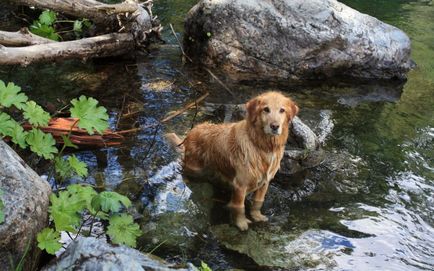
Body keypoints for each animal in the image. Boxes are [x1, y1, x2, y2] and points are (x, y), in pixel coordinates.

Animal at [166, 92, 298, 232]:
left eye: (282, 110)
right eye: (266, 109)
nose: (274, 126)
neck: (261, 145)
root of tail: (191, 133)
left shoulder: (264, 183)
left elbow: (258, 203)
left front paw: (257, 217)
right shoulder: (240, 185)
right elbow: (239, 208)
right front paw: (241, 223)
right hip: (195, 168)